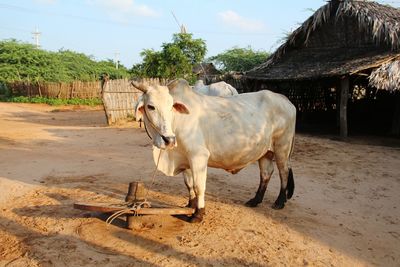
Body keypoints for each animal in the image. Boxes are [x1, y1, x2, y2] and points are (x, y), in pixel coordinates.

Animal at [133, 79, 296, 224]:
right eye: (151, 106)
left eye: (171, 105)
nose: (169, 140)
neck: (177, 121)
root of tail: (286, 100)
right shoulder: (185, 159)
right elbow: (189, 184)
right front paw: (190, 205)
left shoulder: (198, 156)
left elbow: (199, 186)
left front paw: (198, 214)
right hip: (265, 152)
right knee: (266, 173)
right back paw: (255, 200)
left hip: (282, 147)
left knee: (284, 171)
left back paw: (279, 201)